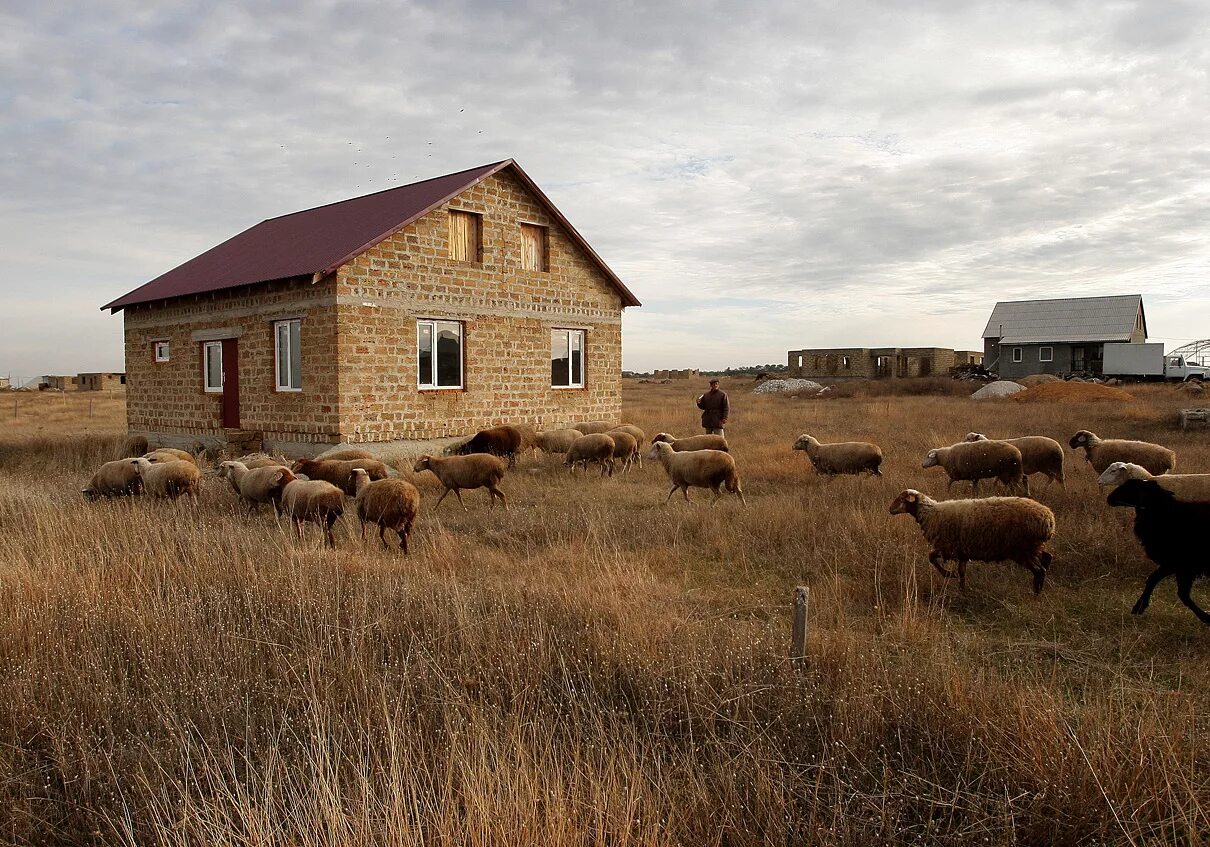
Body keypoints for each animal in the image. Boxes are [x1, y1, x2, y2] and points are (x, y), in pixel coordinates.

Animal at [885, 486, 1055, 592]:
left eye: (902, 498)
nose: (890, 509)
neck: (930, 513)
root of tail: (1048, 521)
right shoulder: (962, 551)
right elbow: (962, 572)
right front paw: (962, 590)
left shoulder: (948, 547)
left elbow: (931, 558)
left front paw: (948, 574)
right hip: (1033, 546)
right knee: (1047, 558)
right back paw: (1039, 587)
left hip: (1022, 549)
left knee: (1040, 570)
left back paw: (1036, 592)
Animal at [1108, 479, 1210, 624]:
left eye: (1131, 487)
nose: (1110, 497)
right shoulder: (1175, 565)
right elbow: (1154, 580)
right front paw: (1139, 607)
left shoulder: (1178, 564)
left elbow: (1180, 593)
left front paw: (1206, 618)